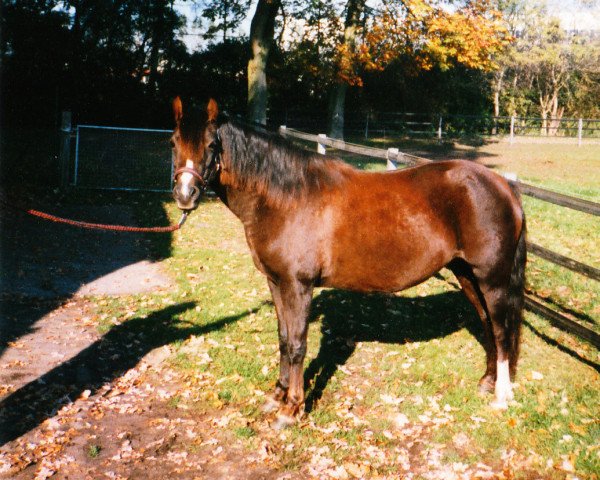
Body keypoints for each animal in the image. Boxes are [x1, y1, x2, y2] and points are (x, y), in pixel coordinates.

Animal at [171, 97, 528, 428]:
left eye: (212, 145)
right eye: (174, 142)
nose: (185, 195)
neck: (286, 197)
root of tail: (503, 186)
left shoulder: (298, 286)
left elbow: (298, 344)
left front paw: (292, 409)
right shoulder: (276, 282)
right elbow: (284, 339)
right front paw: (276, 396)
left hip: (492, 279)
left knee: (500, 329)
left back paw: (501, 396)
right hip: (467, 276)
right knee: (487, 324)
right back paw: (487, 382)